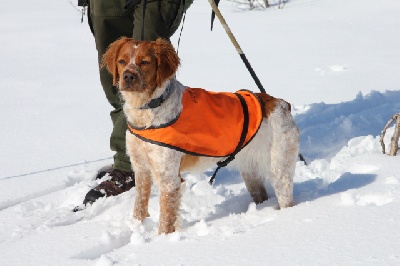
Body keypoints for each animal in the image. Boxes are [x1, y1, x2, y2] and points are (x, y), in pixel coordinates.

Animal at [103, 38, 300, 235]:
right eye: (122, 61)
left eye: (145, 62)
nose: (128, 77)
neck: (148, 108)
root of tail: (281, 103)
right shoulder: (141, 169)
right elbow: (139, 207)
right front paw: (137, 227)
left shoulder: (169, 179)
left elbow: (166, 222)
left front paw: (161, 240)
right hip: (250, 172)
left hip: (279, 170)